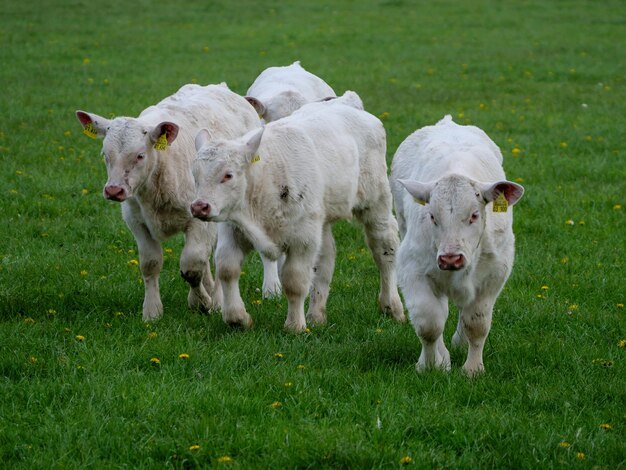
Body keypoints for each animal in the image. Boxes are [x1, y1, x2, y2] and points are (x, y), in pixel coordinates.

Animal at [76, 83, 260, 320]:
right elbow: (150, 264)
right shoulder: (136, 222)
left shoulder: (199, 219)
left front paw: (201, 302)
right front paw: (152, 311)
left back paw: (218, 299)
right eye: (105, 154)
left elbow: (192, 265)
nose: (114, 190)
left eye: (140, 155)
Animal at [190, 92, 404, 332]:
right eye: (195, 174)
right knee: (326, 257)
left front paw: (295, 326)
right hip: (321, 218)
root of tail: (347, 102)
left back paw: (392, 306)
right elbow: (227, 269)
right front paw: (237, 318)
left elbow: (294, 280)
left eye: (228, 175)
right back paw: (316, 315)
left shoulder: (302, 238)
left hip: (376, 201)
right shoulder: (232, 229)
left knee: (384, 246)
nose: (199, 206)